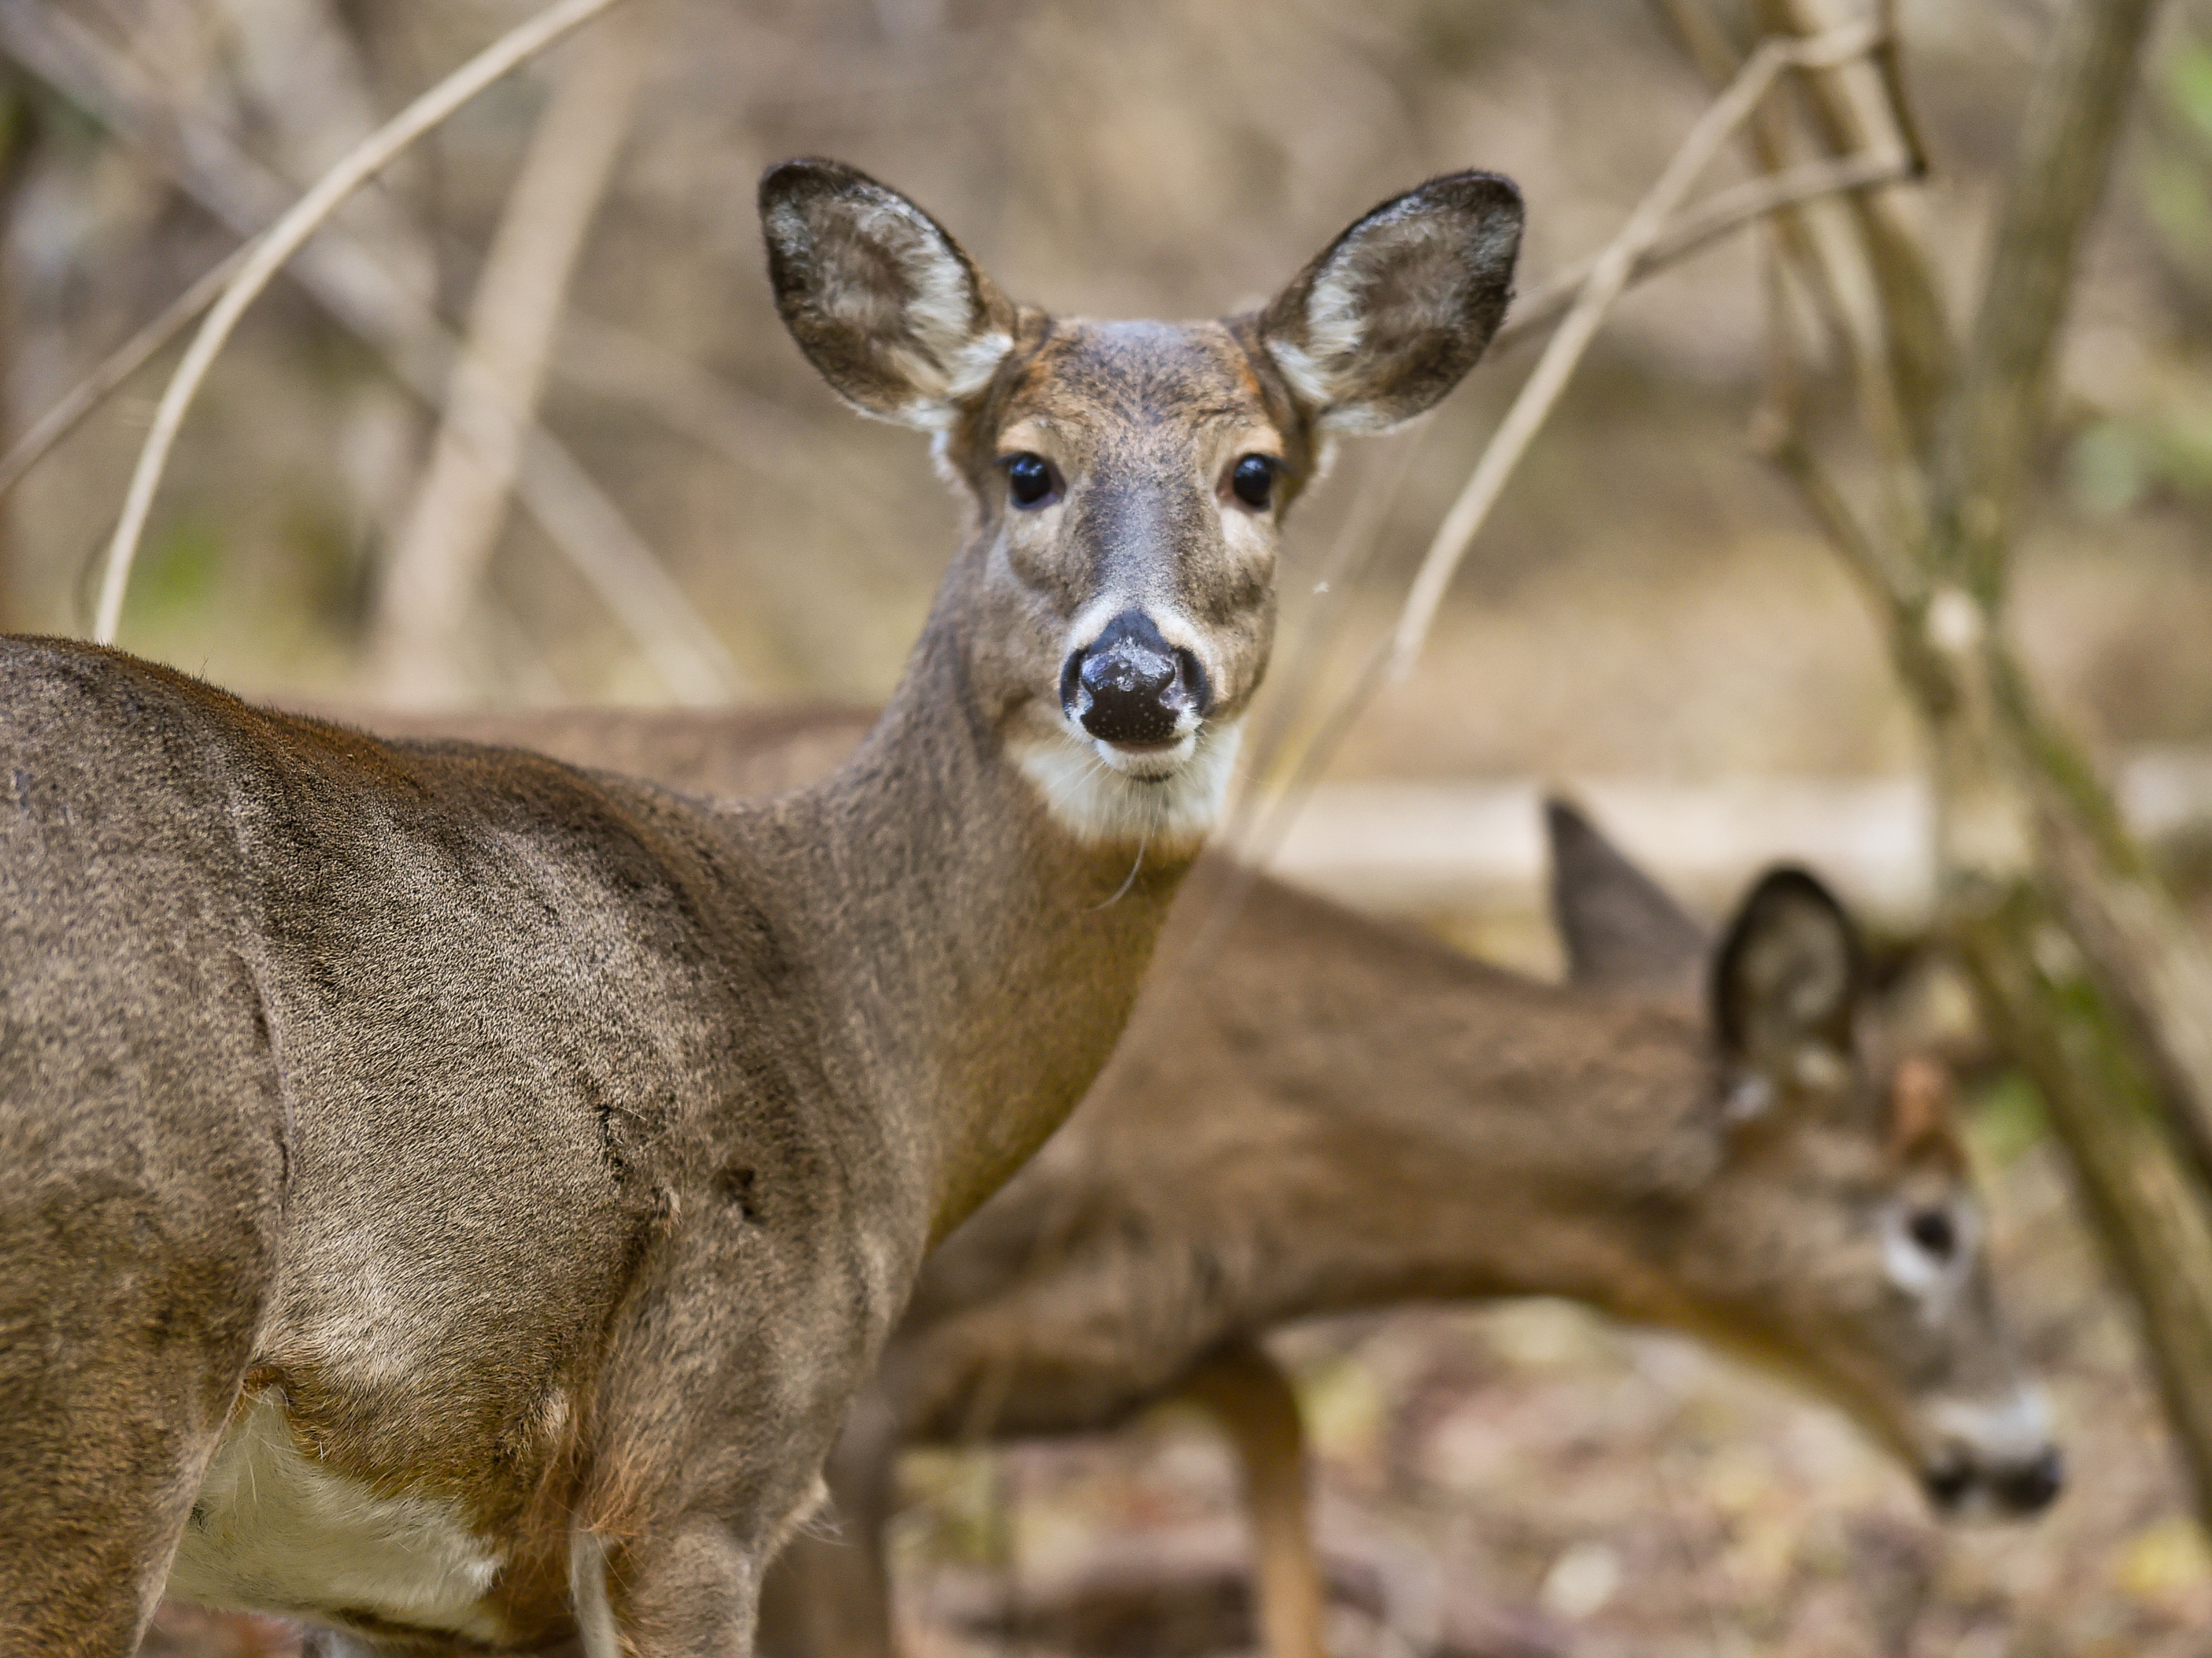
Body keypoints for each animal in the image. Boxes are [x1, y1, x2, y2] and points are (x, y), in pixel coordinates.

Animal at [0, 158, 1524, 1656]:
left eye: (1253, 472)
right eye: (1027, 468)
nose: (1135, 678)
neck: (851, 1017)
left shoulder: (410, 1600)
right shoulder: (702, 1467)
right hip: (113, 1344)